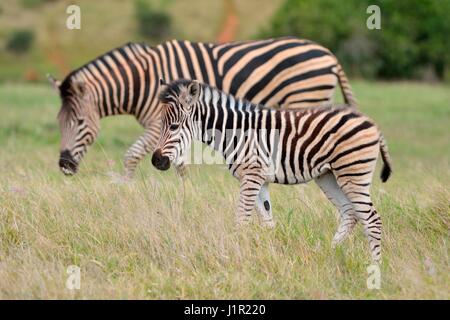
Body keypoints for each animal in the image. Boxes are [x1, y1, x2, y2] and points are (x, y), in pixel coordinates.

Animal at [48, 37, 356, 178]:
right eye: (58, 123)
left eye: (79, 123)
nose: (64, 166)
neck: (143, 80)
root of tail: (329, 54)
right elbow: (179, 163)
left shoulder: (158, 123)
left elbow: (132, 155)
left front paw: (125, 190)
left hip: (306, 99)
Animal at [151, 79, 390, 262]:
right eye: (161, 124)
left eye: (174, 127)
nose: (156, 161)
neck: (233, 132)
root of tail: (371, 122)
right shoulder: (260, 179)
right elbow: (267, 221)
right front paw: (270, 257)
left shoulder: (251, 176)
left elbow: (241, 219)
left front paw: (236, 256)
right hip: (328, 176)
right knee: (350, 213)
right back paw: (329, 253)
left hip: (353, 173)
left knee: (372, 219)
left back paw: (374, 265)